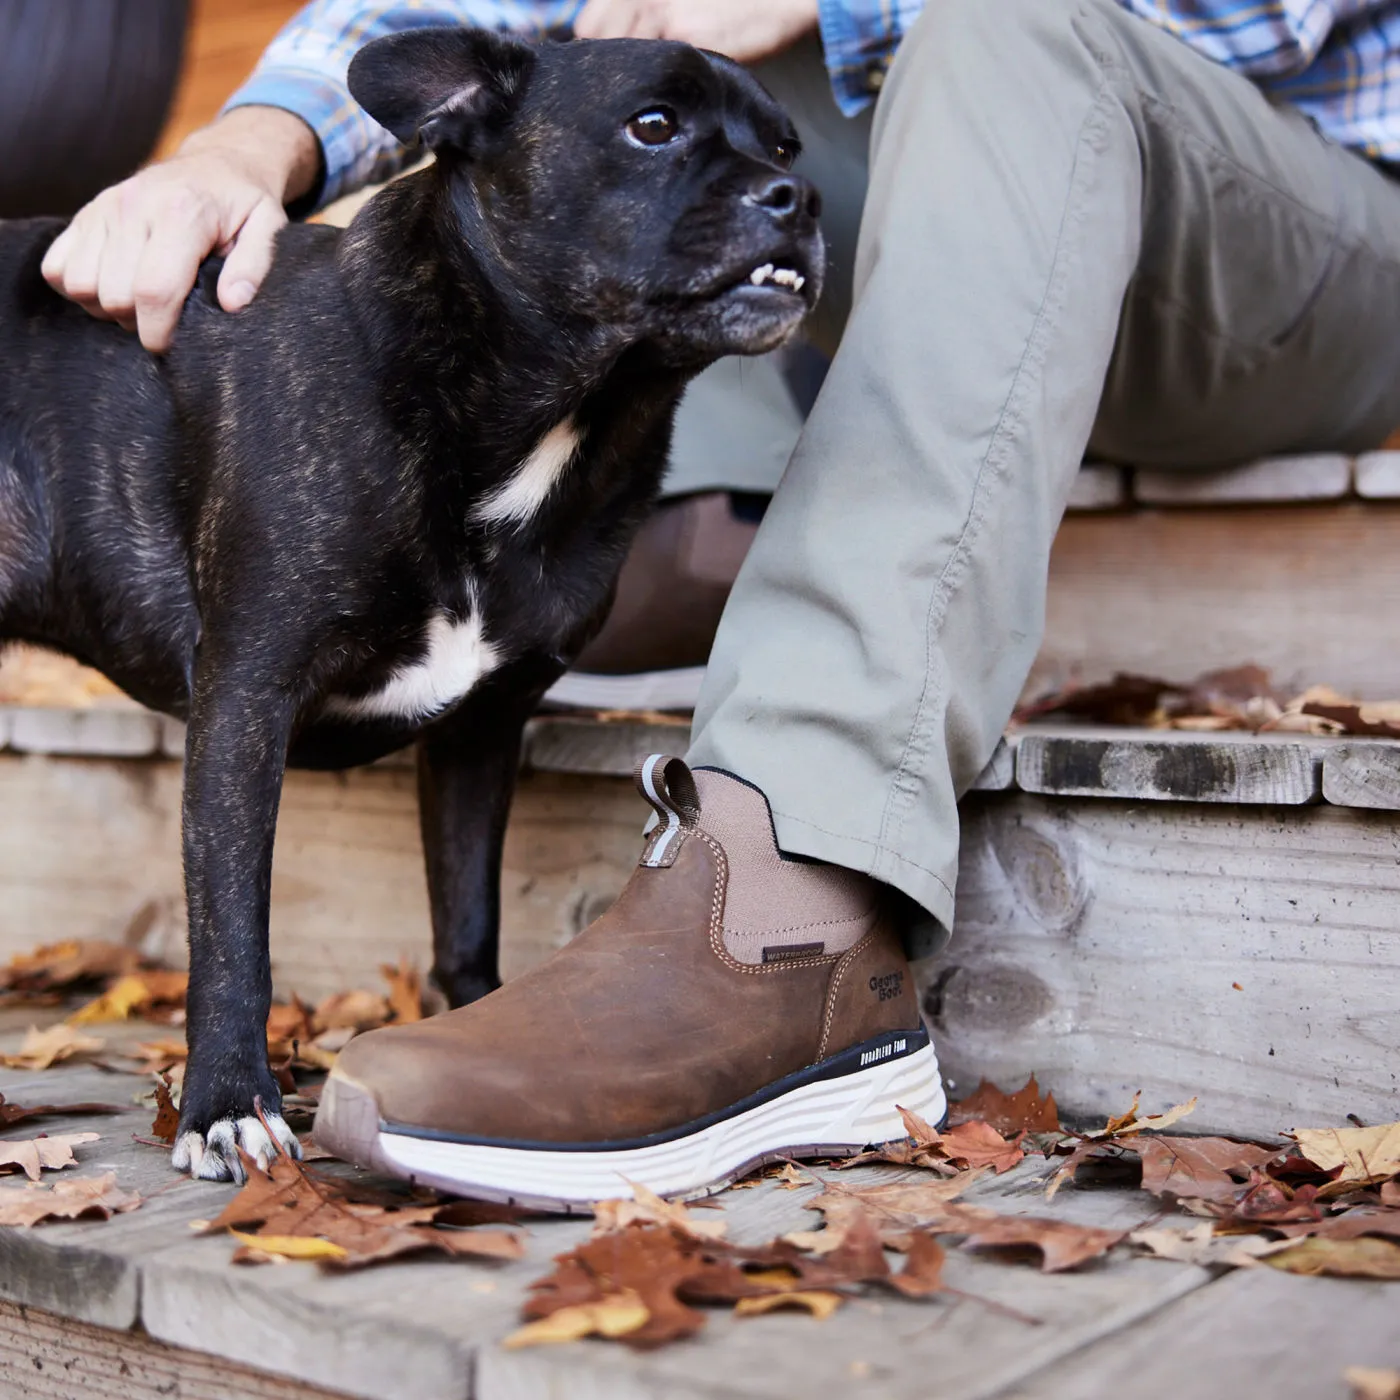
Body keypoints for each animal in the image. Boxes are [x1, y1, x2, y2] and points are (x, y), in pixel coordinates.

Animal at [0, 24, 817, 1181]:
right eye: (652, 125)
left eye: (784, 143)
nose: (799, 194)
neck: (554, 412)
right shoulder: (243, 702)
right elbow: (232, 922)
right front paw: (228, 1104)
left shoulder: (483, 730)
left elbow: (465, 908)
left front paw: (486, 1040)